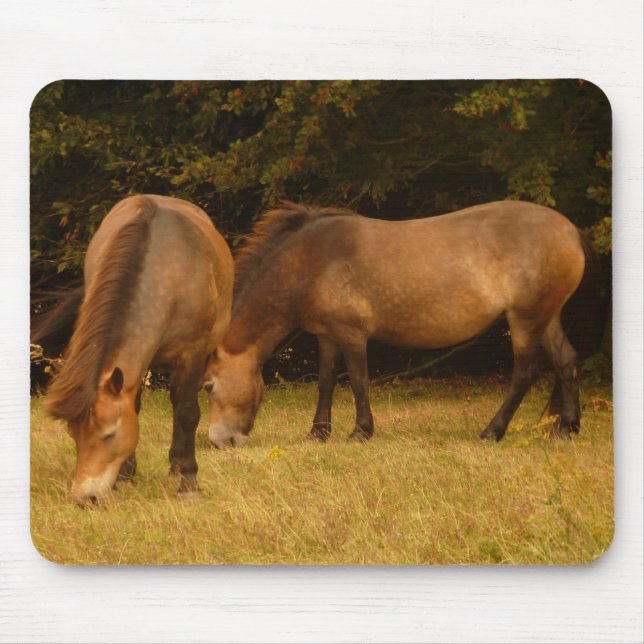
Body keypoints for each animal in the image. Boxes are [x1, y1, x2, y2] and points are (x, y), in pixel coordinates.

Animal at [42, 195, 234, 505]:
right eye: (73, 436)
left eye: (109, 435)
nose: (86, 498)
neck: (170, 274)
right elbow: (134, 407)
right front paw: (124, 477)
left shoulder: (192, 356)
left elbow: (187, 413)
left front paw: (189, 482)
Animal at [203, 200, 593, 448]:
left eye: (208, 386)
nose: (218, 441)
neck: (311, 261)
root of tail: (571, 231)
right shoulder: (327, 336)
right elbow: (326, 381)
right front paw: (317, 434)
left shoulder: (352, 334)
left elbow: (357, 381)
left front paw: (360, 432)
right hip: (546, 317)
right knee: (566, 361)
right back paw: (566, 428)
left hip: (525, 319)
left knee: (524, 373)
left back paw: (491, 432)